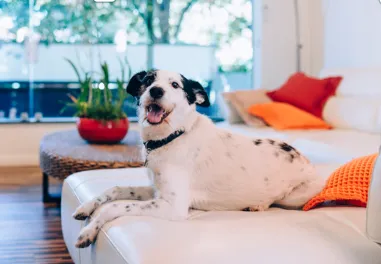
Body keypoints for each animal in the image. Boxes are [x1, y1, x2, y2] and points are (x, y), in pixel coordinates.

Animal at [71, 69, 324, 249]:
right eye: (149, 80)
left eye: (175, 85)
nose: (156, 91)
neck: (172, 136)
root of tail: (304, 158)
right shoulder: (156, 191)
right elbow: (114, 189)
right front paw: (86, 206)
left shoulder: (173, 206)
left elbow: (115, 206)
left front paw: (88, 231)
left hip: (297, 195)